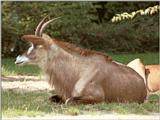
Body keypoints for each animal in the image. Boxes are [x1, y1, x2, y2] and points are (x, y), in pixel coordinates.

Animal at [14, 16, 146, 103]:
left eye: (37, 46)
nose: (17, 59)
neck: (80, 71)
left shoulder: (97, 97)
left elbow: (69, 101)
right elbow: (52, 98)